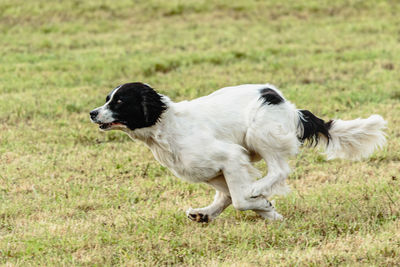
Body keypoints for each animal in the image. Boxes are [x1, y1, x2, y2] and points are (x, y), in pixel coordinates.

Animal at [90, 82, 384, 223]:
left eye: (119, 101)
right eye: (107, 99)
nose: (92, 113)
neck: (168, 125)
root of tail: (291, 108)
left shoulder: (230, 156)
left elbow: (241, 199)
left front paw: (261, 202)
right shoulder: (211, 170)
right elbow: (229, 196)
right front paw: (270, 213)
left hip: (259, 132)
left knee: (279, 169)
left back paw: (257, 189)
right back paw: (206, 213)